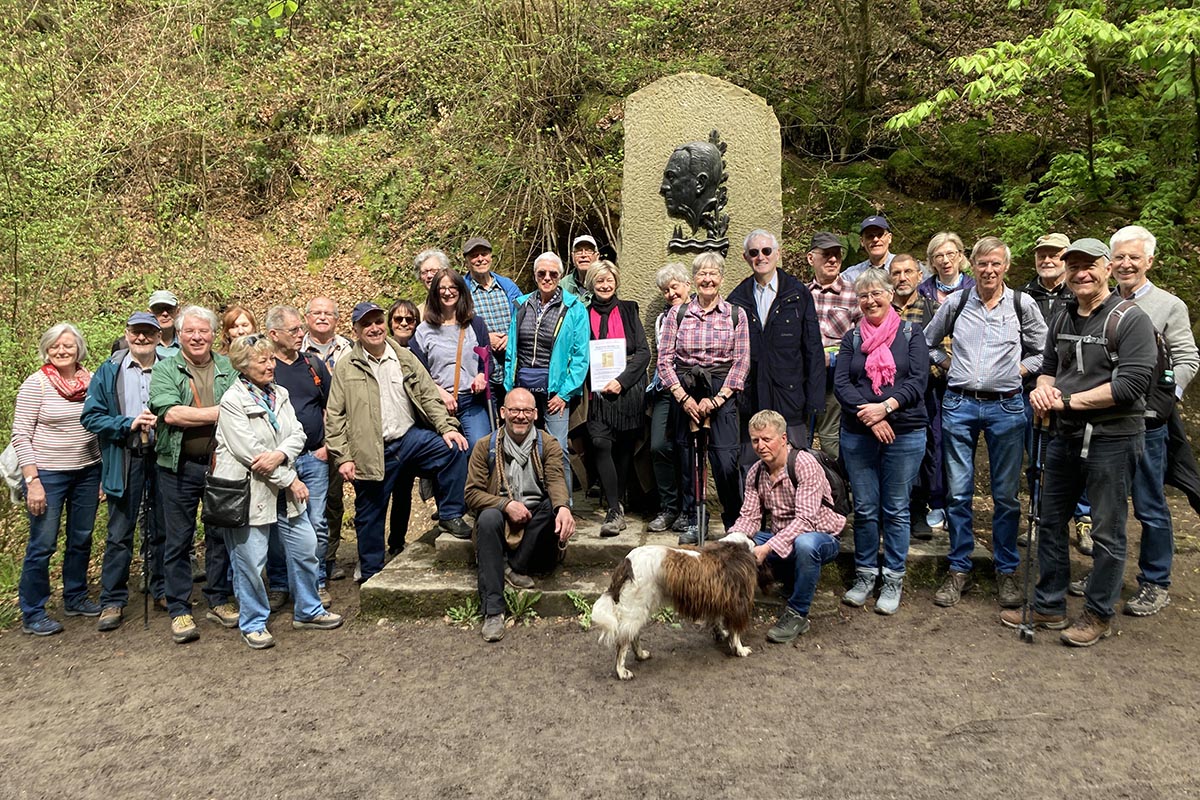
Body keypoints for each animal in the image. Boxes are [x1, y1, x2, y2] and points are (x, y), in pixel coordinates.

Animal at [592, 534, 753, 681]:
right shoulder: (738, 602)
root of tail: (627, 562)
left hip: (641, 606)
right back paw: (622, 671)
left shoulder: (718, 598)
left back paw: (641, 655)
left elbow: (717, 620)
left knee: (632, 634)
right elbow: (736, 632)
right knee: (623, 640)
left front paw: (721, 634)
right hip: (637, 606)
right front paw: (740, 650)